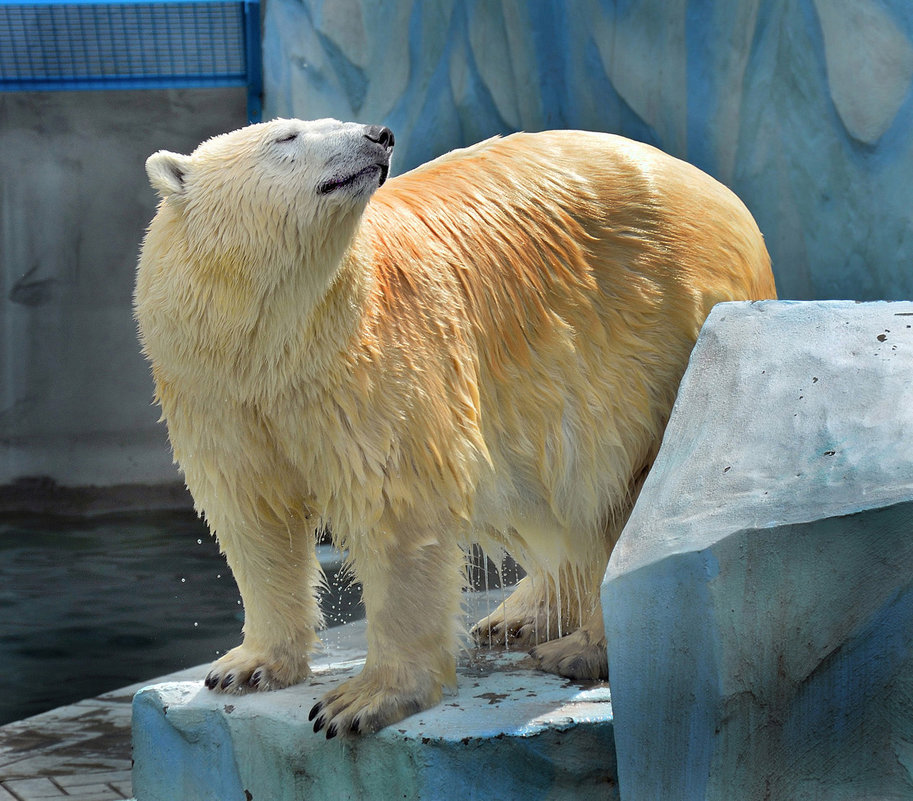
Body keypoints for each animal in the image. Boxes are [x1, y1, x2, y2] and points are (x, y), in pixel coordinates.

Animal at [135, 115, 776, 736]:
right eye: (285, 136)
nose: (378, 135)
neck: (278, 343)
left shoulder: (377, 361)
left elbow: (397, 504)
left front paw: (359, 702)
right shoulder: (218, 394)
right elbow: (253, 516)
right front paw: (245, 667)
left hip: (653, 338)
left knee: (629, 494)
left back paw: (579, 649)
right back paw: (518, 617)